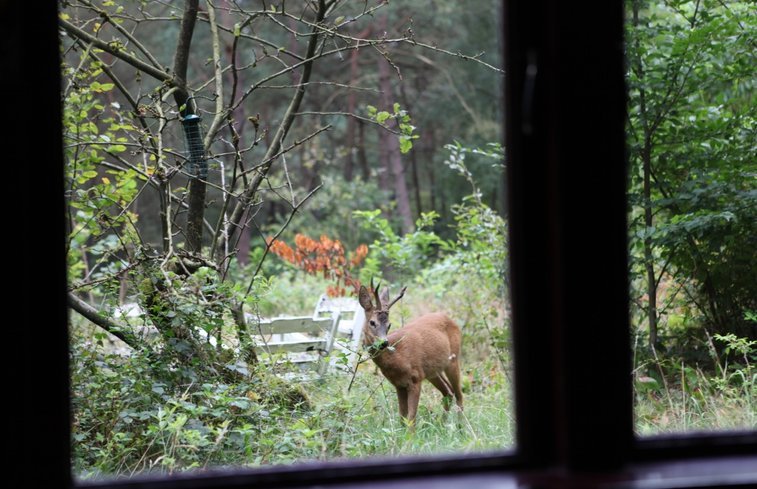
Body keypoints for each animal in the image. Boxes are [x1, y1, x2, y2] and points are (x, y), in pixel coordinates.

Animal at [358, 280, 464, 426]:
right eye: (372, 322)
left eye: (389, 324)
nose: (384, 343)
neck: (397, 358)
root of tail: (449, 318)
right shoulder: (399, 384)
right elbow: (402, 417)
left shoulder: (415, 379)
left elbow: (411, 419)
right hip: (433, 371)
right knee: (448, 392)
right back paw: (442, 425)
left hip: (453, 360)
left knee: (459, 394)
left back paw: (460, 427)